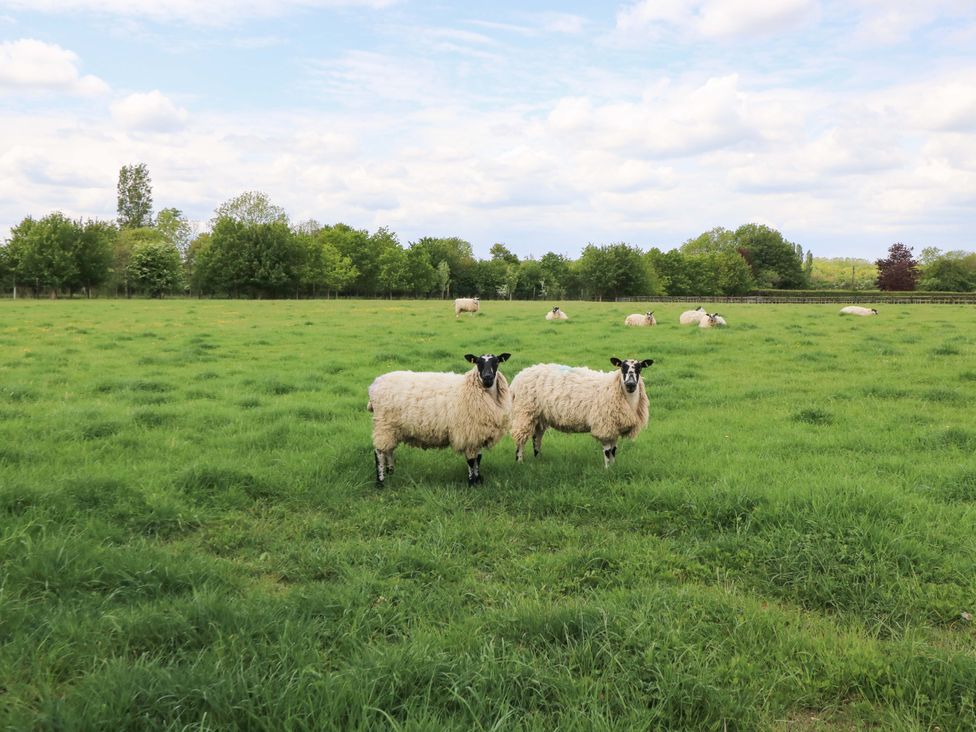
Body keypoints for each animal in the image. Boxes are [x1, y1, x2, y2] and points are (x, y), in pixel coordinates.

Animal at [367, 353, 512, 487]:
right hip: (383, 425)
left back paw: (391, 472)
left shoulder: (478, 433)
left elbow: (478, 458)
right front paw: (472, 483)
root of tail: (374, 384)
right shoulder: (468, 433)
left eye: (496, 362)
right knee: (379, 453)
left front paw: (478, 480)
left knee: (389, 450)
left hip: (391, 428)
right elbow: (471, 461)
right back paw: (380, 481)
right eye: (478, 362)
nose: (487, 377)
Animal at [510, 357, 653, 468]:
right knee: (520, 439)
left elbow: (613, 450)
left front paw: (614, 467)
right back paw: (519, 461)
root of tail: (519, 376)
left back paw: (538, 458)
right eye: (622, 368)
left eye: (639, 368)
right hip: (524, 412)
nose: (630, 384)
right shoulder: (604, 426)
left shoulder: (614, 427)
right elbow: (608, 451)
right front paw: (608, 469)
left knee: (537, 438)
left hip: (540, 416)